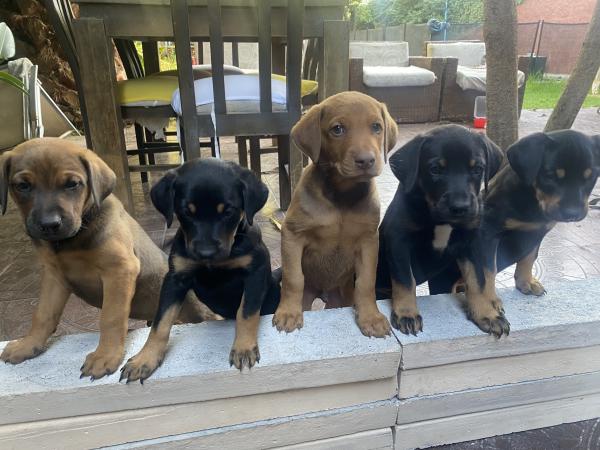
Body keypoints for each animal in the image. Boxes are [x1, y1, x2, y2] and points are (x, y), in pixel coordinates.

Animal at [0, 139, 214, 378]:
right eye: (23, 186)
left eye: (72, 184)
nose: (49, 224)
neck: (71, 241)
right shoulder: (54, 276)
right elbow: (42, 314)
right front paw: (28, 344)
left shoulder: (120, 269)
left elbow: (111, 317)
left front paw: (105, 356)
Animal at [122, 156, 282, 382]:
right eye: (186, 211)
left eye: (228, 211)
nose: (206, 253)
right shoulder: (175, 278)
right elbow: (160, 322)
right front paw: (145, 359)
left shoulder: (255, 272)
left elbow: (246, 312)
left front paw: (243, 349)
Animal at [274, 91, 398, 338]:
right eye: (337, 129)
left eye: (376, 127)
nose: (366, 160)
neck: (342, 196)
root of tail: (323, 293)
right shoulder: (292, 234)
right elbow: (293, 278)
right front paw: (288, 313)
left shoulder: (369, 241)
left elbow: (366, 282)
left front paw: (371, 317)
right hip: (310, 294)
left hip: (340, 298)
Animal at [378, 125, 504, 336]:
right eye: (435, 169)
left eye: (478, 169)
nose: (460, 207)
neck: (442, 222)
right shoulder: (398, 241)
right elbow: (405, 280)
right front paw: (407, 314)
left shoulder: (472, 244)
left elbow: (478, 280)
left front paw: (486, 314)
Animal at [436, 130, 600, 338]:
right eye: (550, 175)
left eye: (591, 176)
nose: (573, 214)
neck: (533, 199)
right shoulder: (486, 233)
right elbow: (486, 272)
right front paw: (490, 305)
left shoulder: (538, 232)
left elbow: (530, 256)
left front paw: (526, 282)